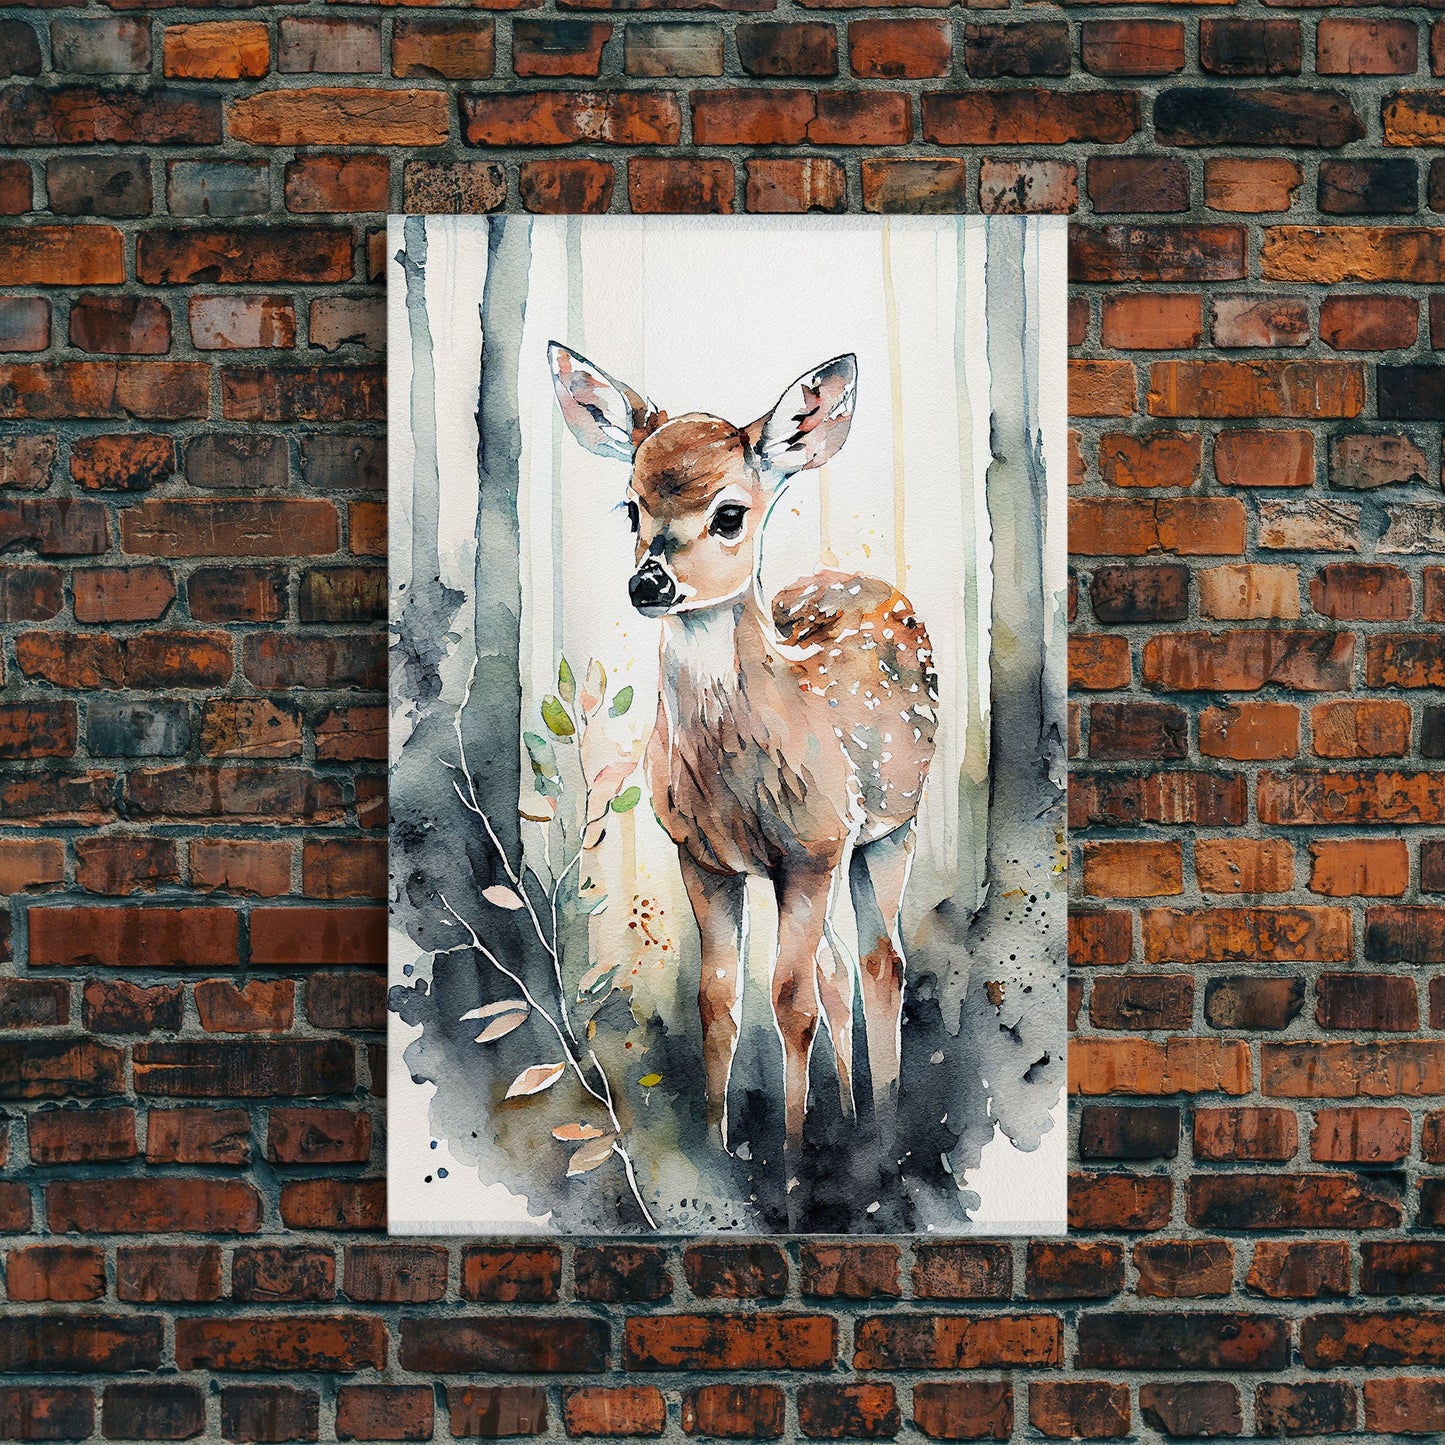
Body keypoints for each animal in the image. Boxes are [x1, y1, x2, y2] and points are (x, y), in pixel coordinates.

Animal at [548, 343, 938, 1161]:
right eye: (630, 508)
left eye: (729, 514)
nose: (649, 582)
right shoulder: (703, 855)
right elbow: (718, 999)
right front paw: (715, 1150)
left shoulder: (814, 843)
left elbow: (788, 999)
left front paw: (790, 1160)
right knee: (837, 968)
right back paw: (852, 1116)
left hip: (890, 825)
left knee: (878, 961)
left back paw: (883, 1129)